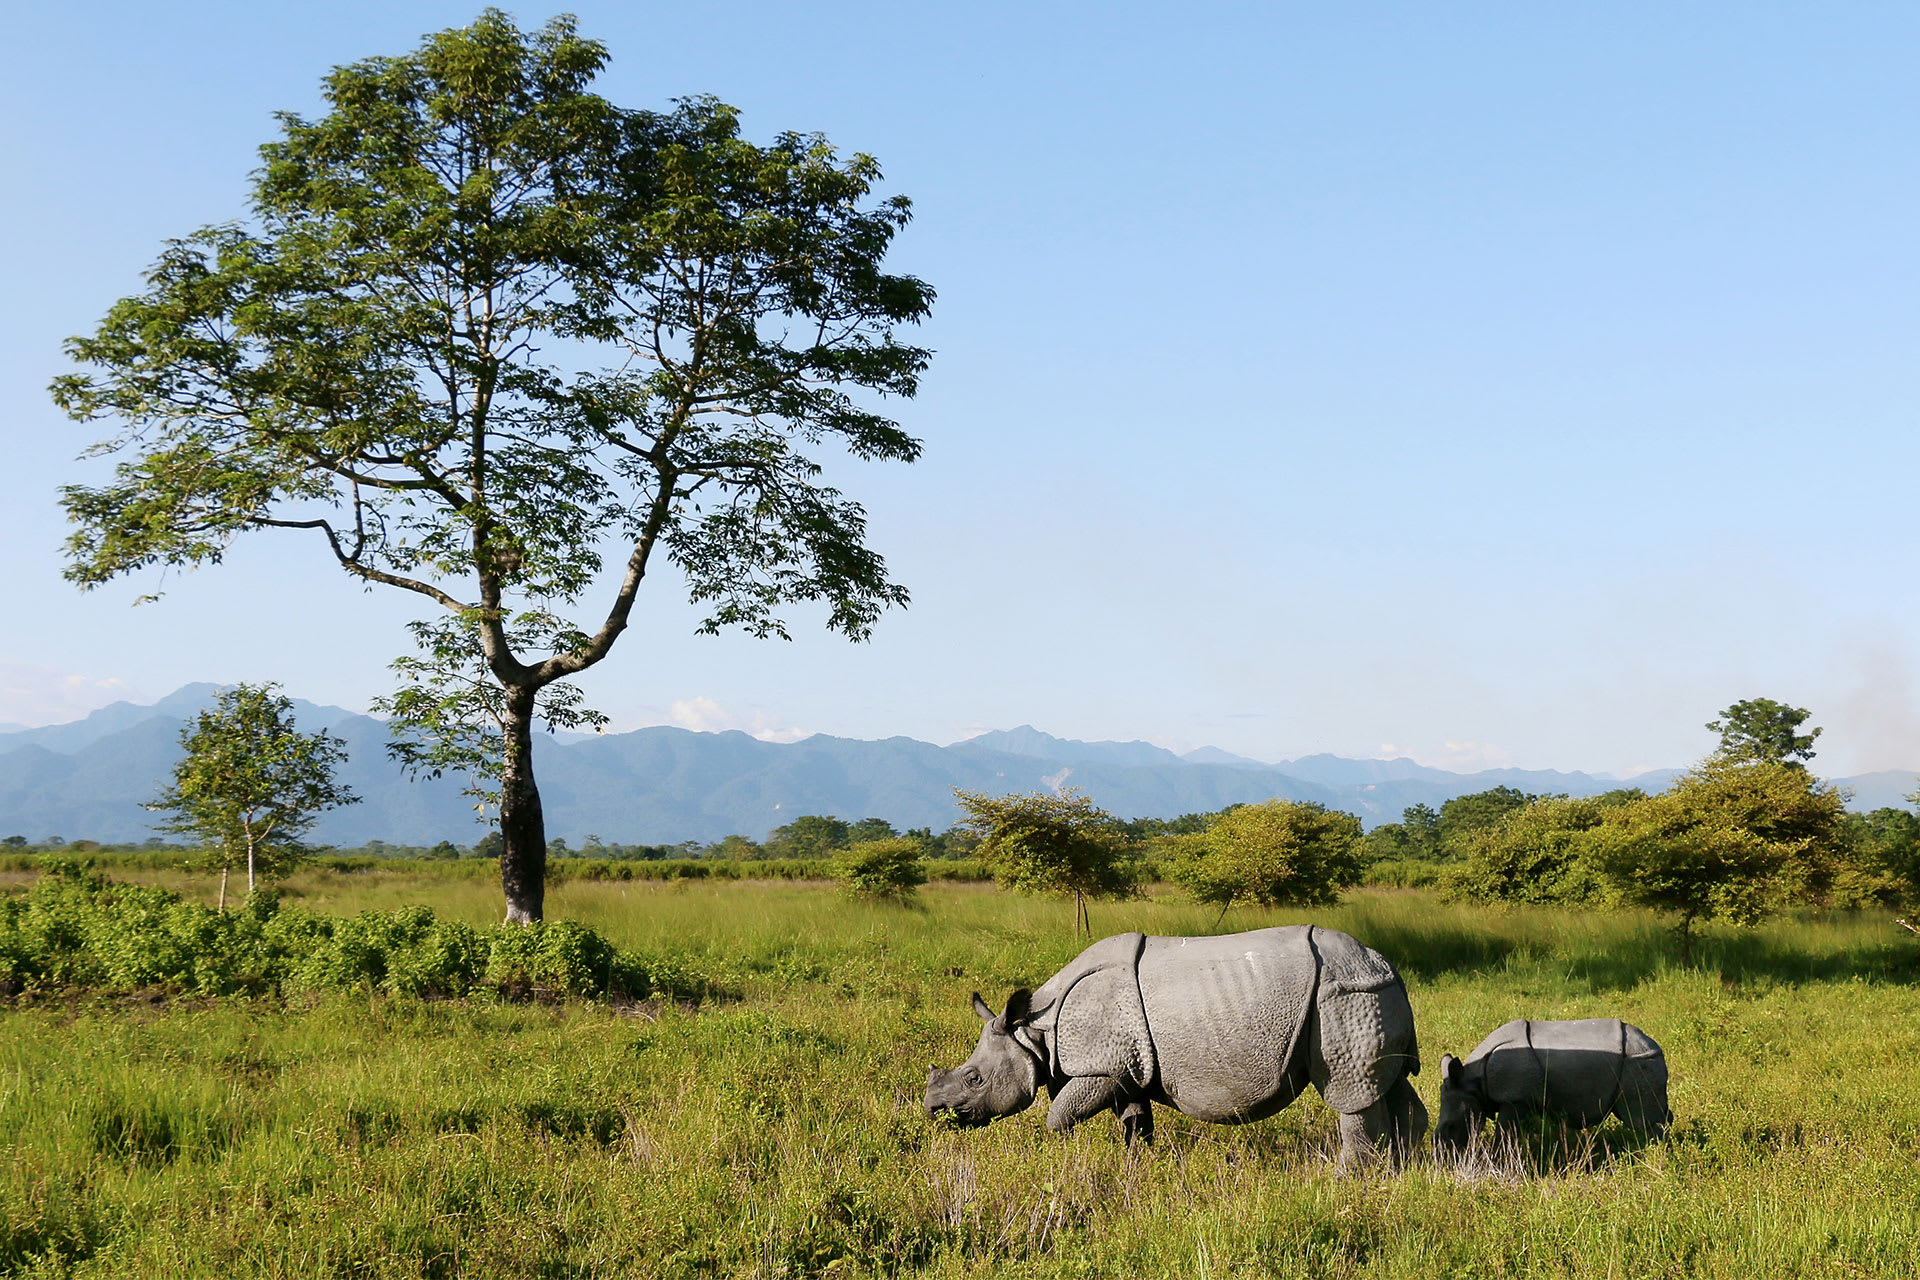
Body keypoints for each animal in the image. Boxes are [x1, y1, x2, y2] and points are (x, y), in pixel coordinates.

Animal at [924, 926, 1426, 1168]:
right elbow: (1134, 1120)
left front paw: (1060, 1154)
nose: (932, 1110)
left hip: (1342, 996)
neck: (1034, 1032)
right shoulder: (1125, 1070)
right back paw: (1411, 1168)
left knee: (1350, 1093)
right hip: (1368, 994)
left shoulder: (1099, 1068)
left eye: (973, 1078)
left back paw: (1348, 1179)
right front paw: (1137, 1168)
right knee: (1386, 1083)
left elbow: (1059, 1114)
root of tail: (1386, 965)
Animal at [1434, 1018, 1672, 1158]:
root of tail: (1653, 1044)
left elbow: (1504, 1134)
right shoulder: (1522, 1099)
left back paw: (1658, 1155)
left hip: (1637, 1060)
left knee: (1641, 1119)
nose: (1442, 1158)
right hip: (1638, 1059)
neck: (1473, 1082)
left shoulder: (1515, 1099)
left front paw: (1498, 1160)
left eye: (1452, 1127)